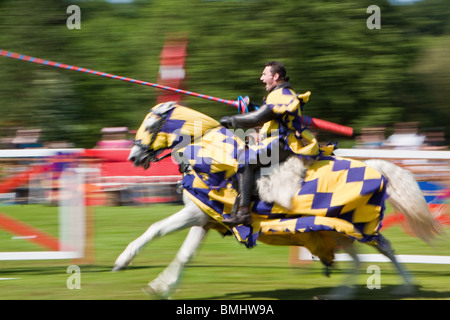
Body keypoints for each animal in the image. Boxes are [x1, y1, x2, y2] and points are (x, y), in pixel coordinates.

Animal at [110, 102, 442, 300]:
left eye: (150, 126)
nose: (133, 157)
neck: (207, 153)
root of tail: (376, 167)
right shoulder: (204, 217)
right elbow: (185, 255)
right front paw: (160, 286)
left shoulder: (195, 214)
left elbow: (155, 229)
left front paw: (122, 261)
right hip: (337, 229)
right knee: (365, 258)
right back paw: (343, 294)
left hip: (353, 226)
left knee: (384, 249)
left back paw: (404, 286)